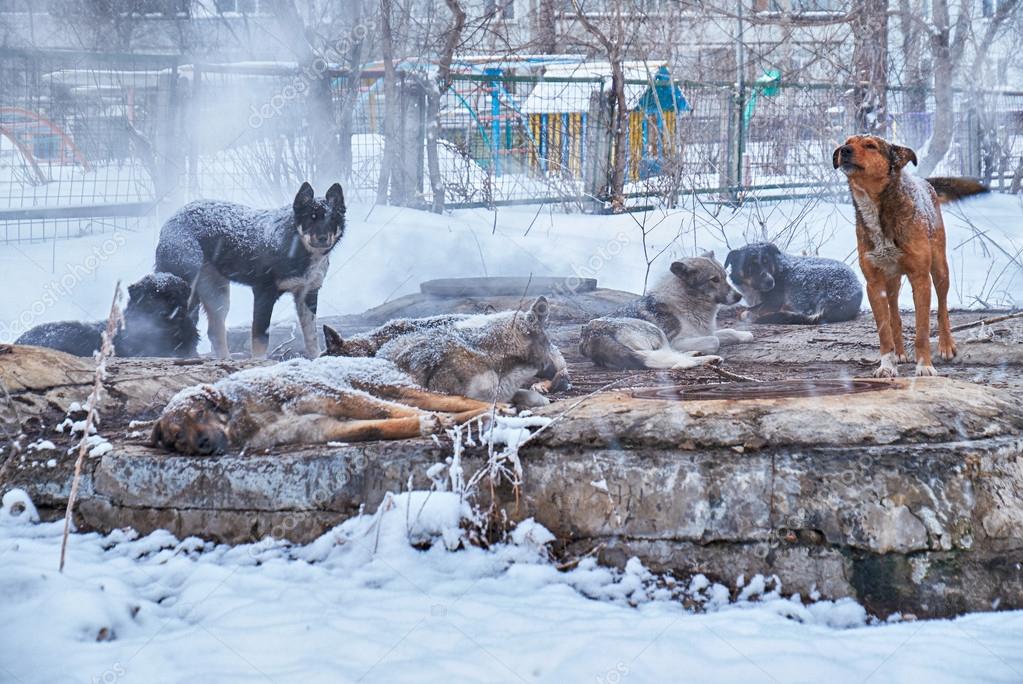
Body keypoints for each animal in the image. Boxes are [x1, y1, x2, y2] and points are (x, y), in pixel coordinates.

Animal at [147, 351, 491, 453]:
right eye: (177, 436)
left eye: (199, 413)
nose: (202, 444)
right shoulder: (318, 427)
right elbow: (374, 428)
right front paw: (423, 424)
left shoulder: (332, 395)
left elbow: (385, 411)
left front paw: (431, 420)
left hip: (391, 387)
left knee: (457, 400)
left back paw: (492, 409)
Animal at [581, 253, 757, 368]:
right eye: (714, 279)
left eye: (725, 277)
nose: (739, 296)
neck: (688, 301)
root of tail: (593, 335)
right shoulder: (677, 340)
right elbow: (715, 340)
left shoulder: (703, 332)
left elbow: (729, 331)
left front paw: (744, 335)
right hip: (657, 332)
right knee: (668, 359)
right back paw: (706, 359)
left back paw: (696, 354)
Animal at [728, 241, 863, 325]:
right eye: (752, 265)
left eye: (767, 262)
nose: (770, 282)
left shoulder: (773, 302)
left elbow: (748, 311)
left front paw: (748, 314)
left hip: (800, 280)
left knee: (805, 313)